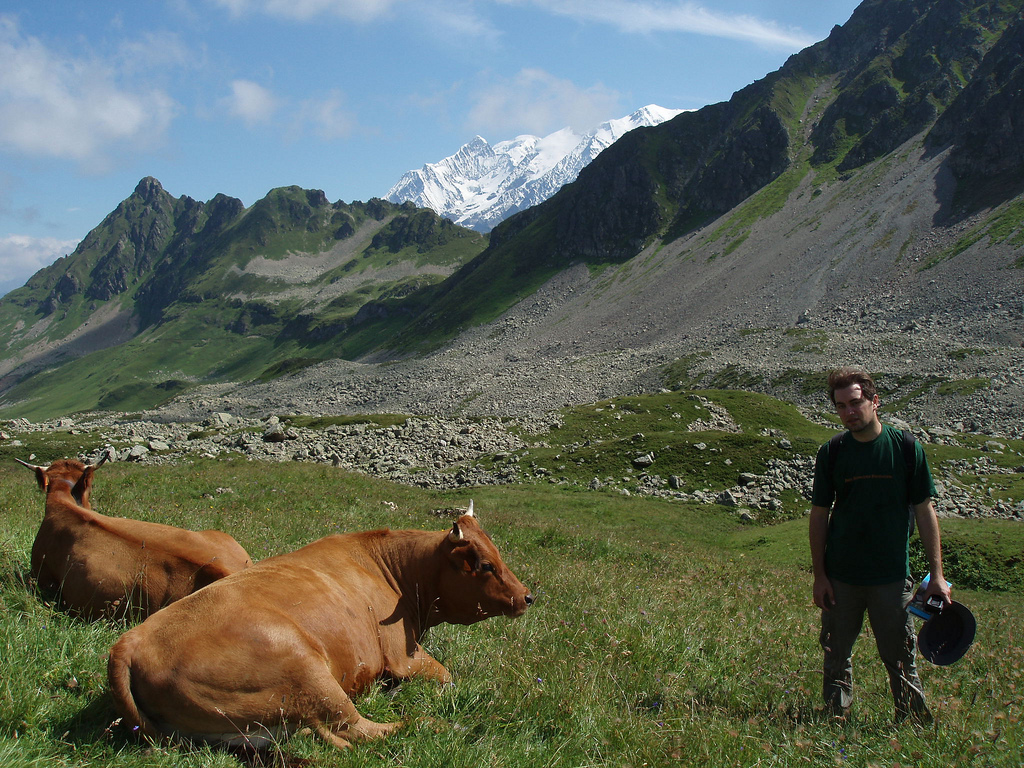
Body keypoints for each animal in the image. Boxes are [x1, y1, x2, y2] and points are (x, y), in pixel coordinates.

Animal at [108, 505, 532, 753]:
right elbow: (446, 676)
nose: (527, 596)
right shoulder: (403, 653)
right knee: (361, 731)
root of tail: (129, 644)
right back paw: (438, 724)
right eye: (485, 565)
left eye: (498, 555)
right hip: (308, 673)